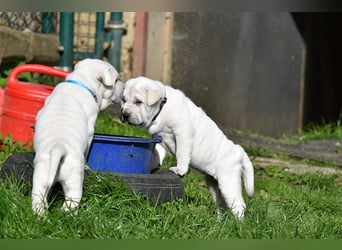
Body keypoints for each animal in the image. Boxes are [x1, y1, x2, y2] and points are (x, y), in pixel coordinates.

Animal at [31, 58, 123, 215]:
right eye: (116, 80)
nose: (124, 86)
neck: (80, 82)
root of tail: (58, 148)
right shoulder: (90, 128)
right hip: (73, 178)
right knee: (71, 200)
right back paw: (67, 215)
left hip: (41, 174)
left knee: (38, 198)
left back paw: (41, 216)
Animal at [121, 76, 254, 219]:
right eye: (124, 100)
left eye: (138, 102)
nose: (124, 114)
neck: (162, 108)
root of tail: (238, 151)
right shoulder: (158, 136)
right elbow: (157, 152)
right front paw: (153, 166)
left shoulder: (183, 132)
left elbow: (182, 153)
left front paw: (180, 170)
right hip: (214, 185)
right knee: (221, 205)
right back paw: (219, 222)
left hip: (228, 181)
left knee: (238, 205)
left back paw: (237, 223)